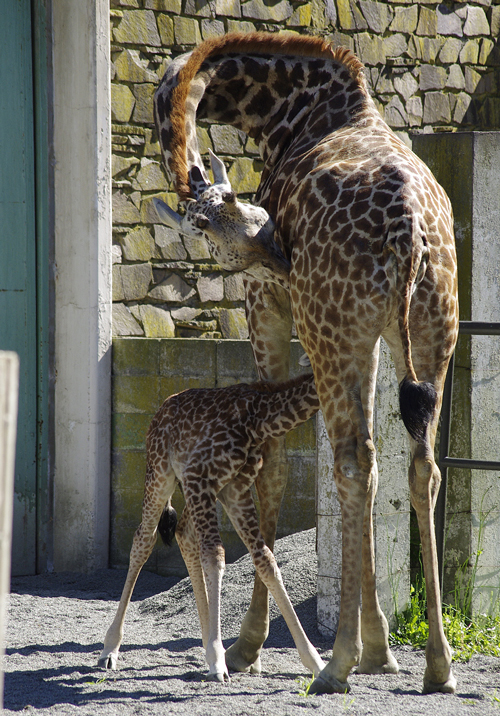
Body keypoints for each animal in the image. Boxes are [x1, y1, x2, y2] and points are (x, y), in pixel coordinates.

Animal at [97, 364, 324, 684]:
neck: (259, 417)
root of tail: (161, 408)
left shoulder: (234, 489)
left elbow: (266, 561)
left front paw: (316, 662)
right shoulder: (199, 477)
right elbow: (215, 557)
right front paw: (217, 662)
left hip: (198, 491)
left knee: (183, 534)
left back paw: (206, 645)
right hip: (160, 473)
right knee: (144, 540)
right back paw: (109, 650)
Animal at [154, 32, 458, 692]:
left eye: (242, 213)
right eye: (211, 226)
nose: (281, 259)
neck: (284, 111)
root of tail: (411, 231)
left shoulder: (264, 306)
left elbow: (269, 466)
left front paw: (248, 647)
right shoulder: (369, 336)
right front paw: (382, 651)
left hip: (328, 328)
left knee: (351, 461)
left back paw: (334, 665)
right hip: (427, 333)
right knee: (415, 464)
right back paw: (436, 666)